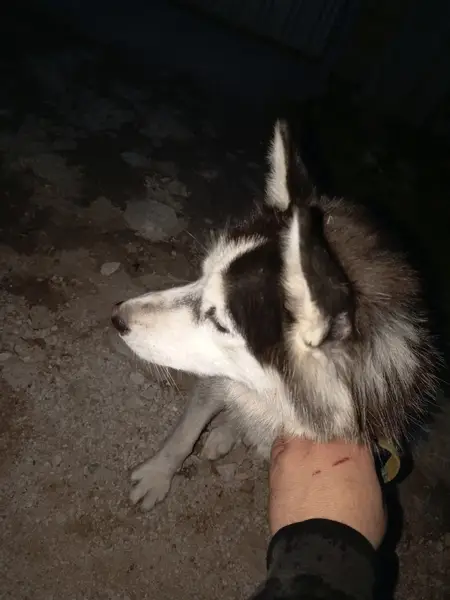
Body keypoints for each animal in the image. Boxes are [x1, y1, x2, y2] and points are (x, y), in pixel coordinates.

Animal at [111, 119, 440, 511]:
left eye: (220, 322)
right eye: (202, 274)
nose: (118, 317)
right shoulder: (219, 378)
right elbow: (186, 430)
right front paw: (159, 472)